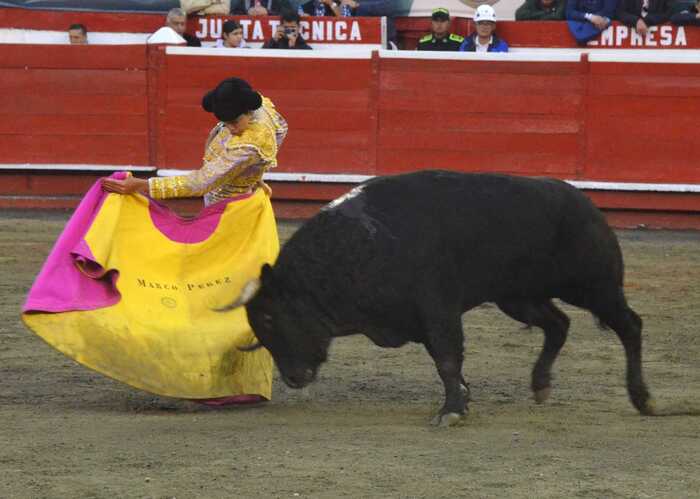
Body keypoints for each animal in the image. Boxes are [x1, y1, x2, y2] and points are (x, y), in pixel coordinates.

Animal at [224, 170, 654, 426]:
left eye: (270, 318)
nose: (293, 379)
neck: (358, 246)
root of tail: (585, 203)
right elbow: (446, 363)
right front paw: (462, 399)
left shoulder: (438, 309)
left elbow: (446, 359)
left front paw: (451, 411)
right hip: (517, 297)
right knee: (558, 325)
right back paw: (540, 385)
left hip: (594, 286)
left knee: (630, 326)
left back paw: (642, 399)